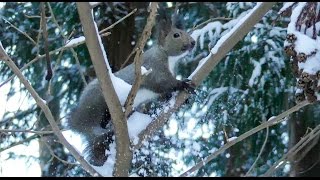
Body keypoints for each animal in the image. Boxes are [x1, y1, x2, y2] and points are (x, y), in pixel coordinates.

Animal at [67, 8, 195, 166]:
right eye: (176, 35)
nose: (193, 42)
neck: (168, 57)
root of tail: (77, 122)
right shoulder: (154, 69)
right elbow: (163, 84)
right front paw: (183, 84)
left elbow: (165, 95)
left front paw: (184, 100)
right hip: (96, 104)